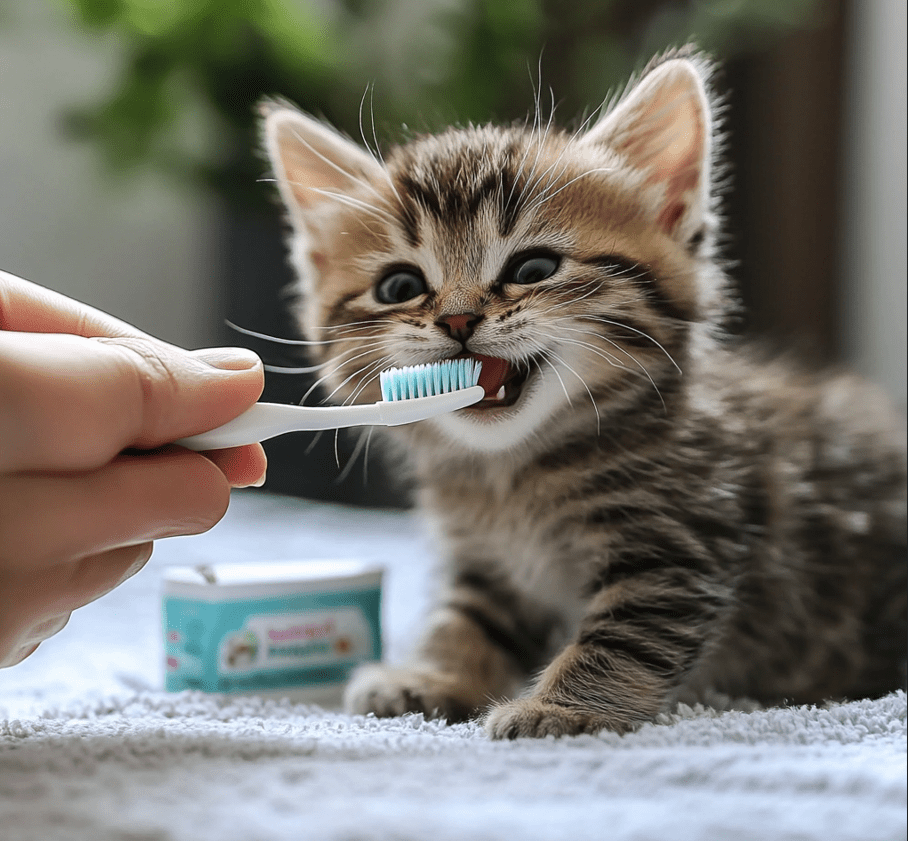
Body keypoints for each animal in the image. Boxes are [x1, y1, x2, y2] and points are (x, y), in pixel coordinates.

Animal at [258, 49, 904, 740]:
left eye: (533, 270)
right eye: (400, 286)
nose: (457, 320)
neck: (512, 476)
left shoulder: (677, 546)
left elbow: (622, 638)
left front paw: (559, 708)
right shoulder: (488, 563)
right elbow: (469, 618)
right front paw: (433, 676)